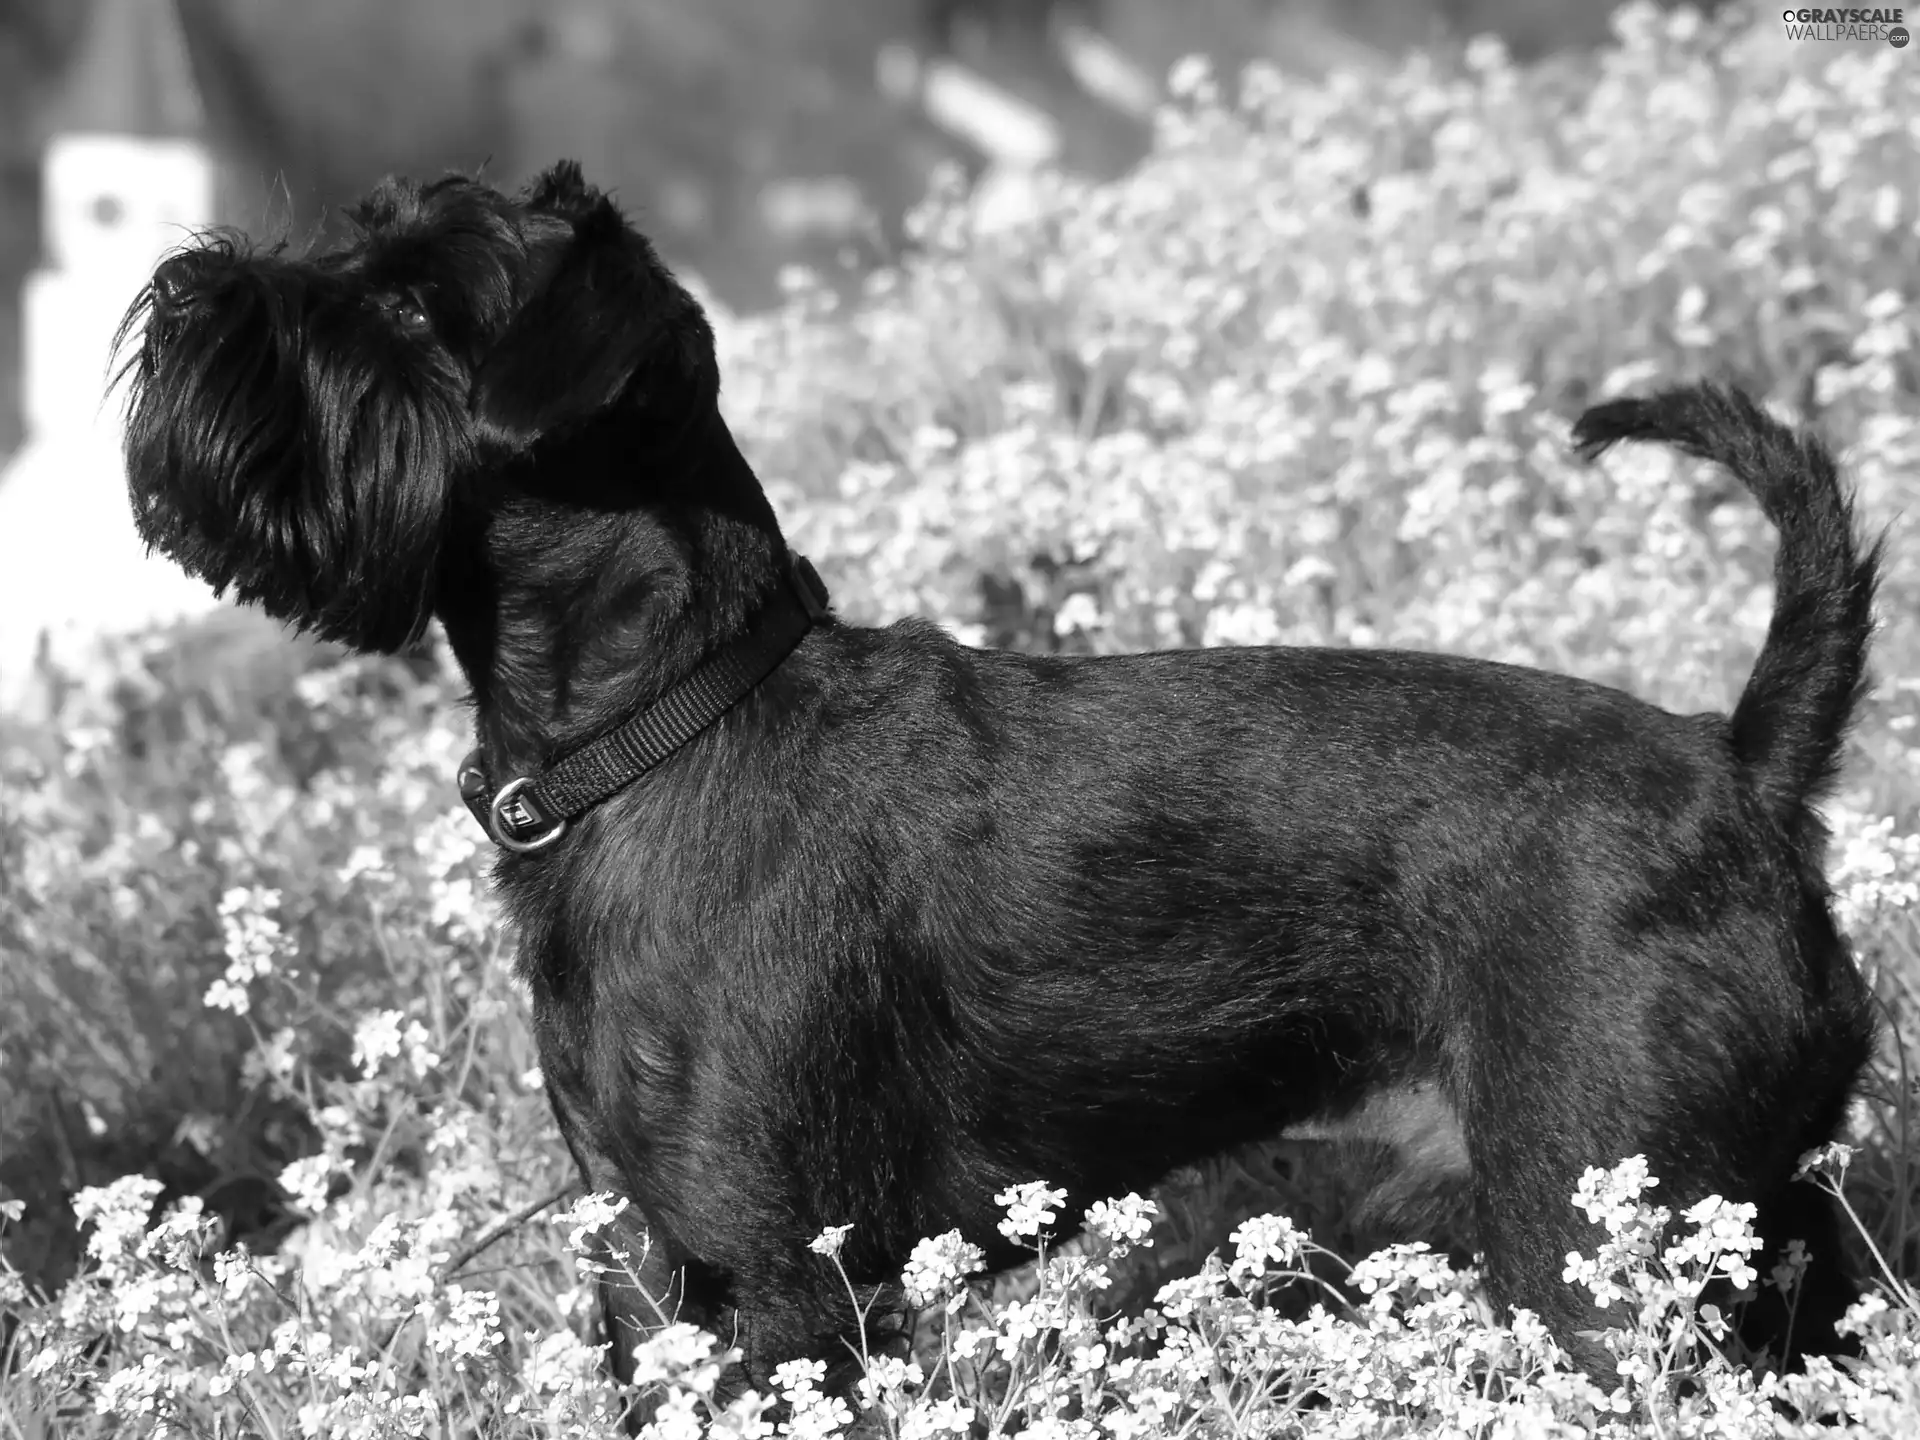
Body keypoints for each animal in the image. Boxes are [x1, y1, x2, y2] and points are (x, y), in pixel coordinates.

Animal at [120, 163, 1873, 1390]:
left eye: (414, 309)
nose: (189, 287)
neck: (658, 729)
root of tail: (1741, 767)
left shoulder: (779, 1278)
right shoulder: (652, 1259)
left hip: (1594, 1220)